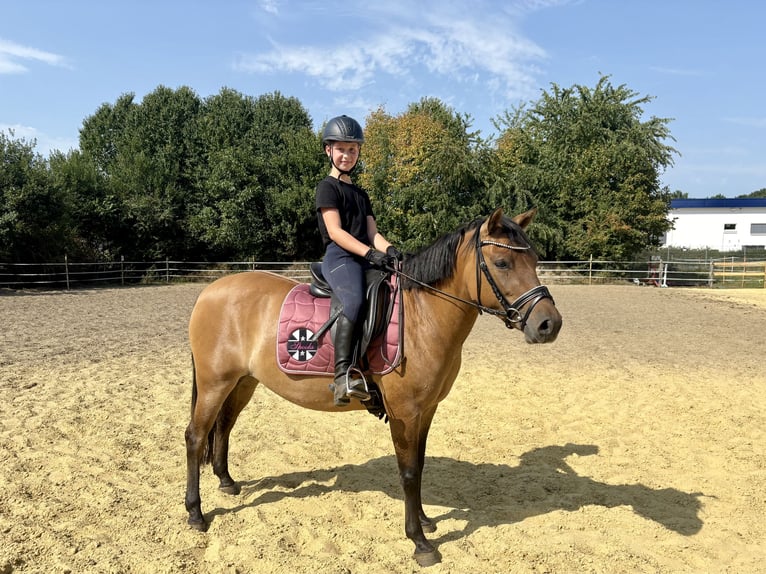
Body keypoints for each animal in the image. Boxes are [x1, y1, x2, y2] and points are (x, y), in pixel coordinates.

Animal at [184, 207, 563, 566]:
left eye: (535, 261)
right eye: (502, 263)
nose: (550, 324)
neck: (422, 316)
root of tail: (209, 292)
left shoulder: (426, 410)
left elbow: (419, 465)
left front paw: (425, 520)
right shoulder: (404, 412)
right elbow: (408, 471)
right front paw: (419, 542)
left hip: (242, 382)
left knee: (224, 426)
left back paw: (226, 482)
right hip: (214, 383)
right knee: (195, 436)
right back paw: (196, 513)